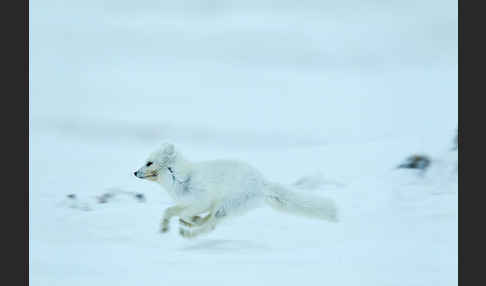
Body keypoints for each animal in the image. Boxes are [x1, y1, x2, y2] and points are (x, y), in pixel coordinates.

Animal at [133, 143, 338, 239]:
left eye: (149, 162)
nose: (134, 172)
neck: (179, 178)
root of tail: (262, 182)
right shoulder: (192, 203)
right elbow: (176, 211)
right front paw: (178, 223)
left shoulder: (201, 199)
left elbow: (174, 211)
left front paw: (168, 226)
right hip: (225, 207)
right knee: (210, 221)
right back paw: (191, 225)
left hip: (228, 205)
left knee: (211, 225)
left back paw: (188, 233)